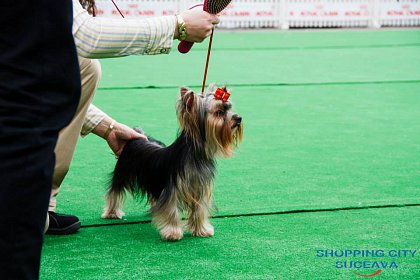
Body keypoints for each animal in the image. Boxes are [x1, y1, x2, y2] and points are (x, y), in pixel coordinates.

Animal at [102, 85, 244, 241]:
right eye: (219, 112)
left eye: (229, 109)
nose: (239, 118)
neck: (196, 154)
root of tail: (137, 137)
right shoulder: (172, 189)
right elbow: (171, 210)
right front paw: (172, 233)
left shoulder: (200, 189)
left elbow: (199, 210)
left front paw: (201, 230)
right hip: (122, 172)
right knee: (114, 191)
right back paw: (111, 213)